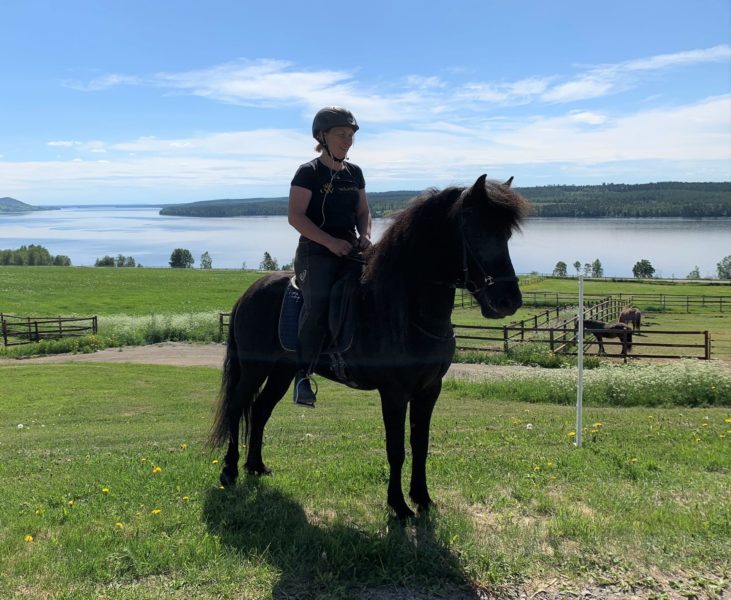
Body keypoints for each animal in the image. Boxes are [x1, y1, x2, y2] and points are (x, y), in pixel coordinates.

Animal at [209, 175, 528, 520]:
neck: (402, 308)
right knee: (237, 406)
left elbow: (421, 444)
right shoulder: (394, 392)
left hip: (281, 372)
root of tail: (248, 293)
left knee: (260, 409)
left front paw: (423, 498)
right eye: (476, 231)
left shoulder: (429, 389)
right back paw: (230, 471)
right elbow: (396, 449)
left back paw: (256, 466)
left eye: (507, 234)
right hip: (254, 368)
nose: (509, 301)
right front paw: (399, 506)